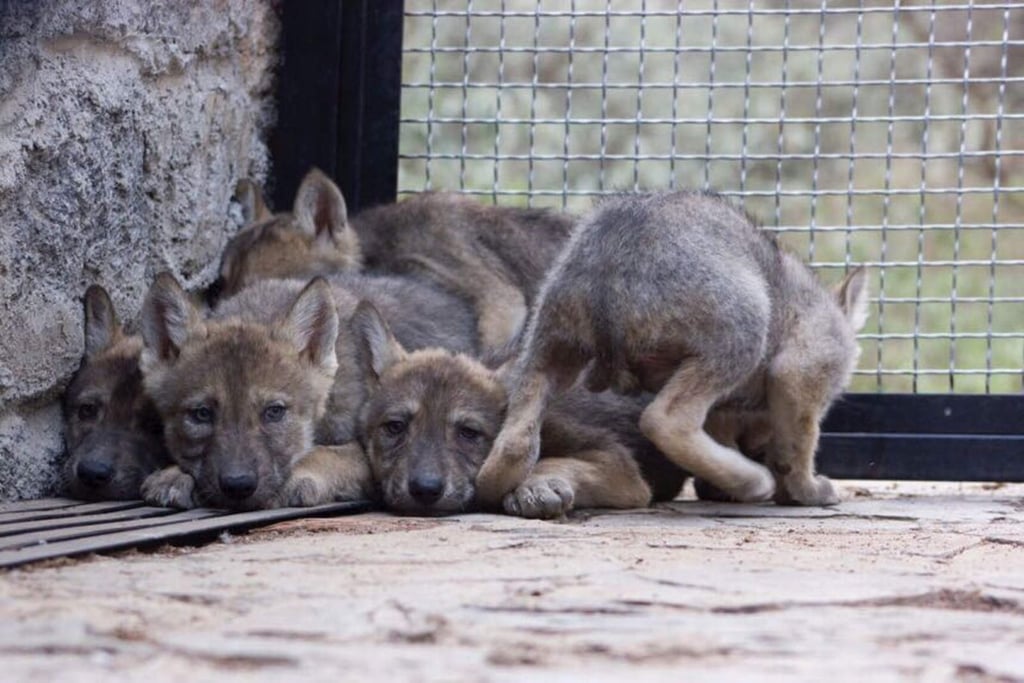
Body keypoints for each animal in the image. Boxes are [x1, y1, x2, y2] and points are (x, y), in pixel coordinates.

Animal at [139, 271, 477, 510]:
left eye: (274, 412)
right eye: (201, 414)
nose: (238, 485)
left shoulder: (373, 453)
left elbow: (323, 453)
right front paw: (173, 474)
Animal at [352, 302, 688, 518]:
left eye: (468, 433)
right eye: (395, 427)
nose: (425, 490)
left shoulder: (619, 466)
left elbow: (551, 461)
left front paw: (534, 486)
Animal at [475, 192, 869, 509]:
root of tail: (611, 250)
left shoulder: (727, 410)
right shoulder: (799, 373)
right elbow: (799, 445)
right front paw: (807, 490)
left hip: (546, 346)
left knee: (512, 447)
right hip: (744, 330)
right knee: (664, 419)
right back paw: (753, 480)